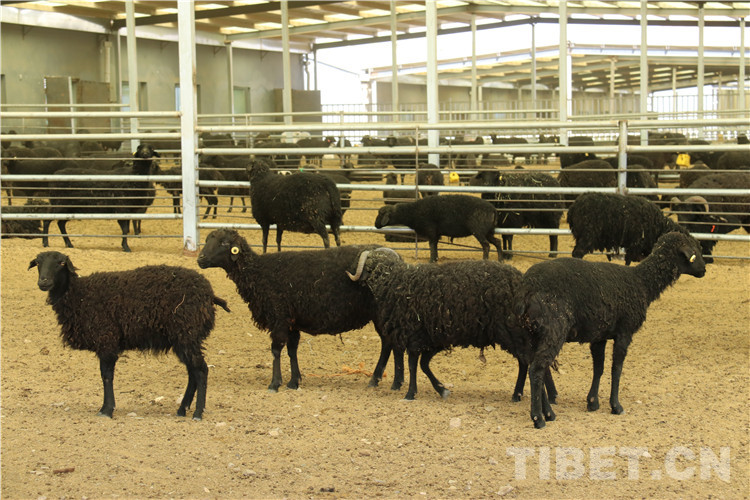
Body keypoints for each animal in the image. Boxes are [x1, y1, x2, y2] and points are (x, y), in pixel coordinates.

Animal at [29, 250, 230, 420]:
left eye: (61, 263)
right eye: (38, 263)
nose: (43, 282)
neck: (79, 295)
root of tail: (209, 295)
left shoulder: (107, 340)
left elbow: (106, 376)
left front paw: (106, 410)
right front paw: (106, 408)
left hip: (187, 334)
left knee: (201, 370)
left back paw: (197, 412)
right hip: (184, 339)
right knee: (192, 372)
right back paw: (182, 409)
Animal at [196, 229, 404, 391]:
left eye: (224, 243)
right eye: (207, 240)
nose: (200, 259)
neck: (258, 272)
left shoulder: (279, 317)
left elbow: (276, 349)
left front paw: (275, 383)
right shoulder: (292, 321)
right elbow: (292, 350)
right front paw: (294, 381)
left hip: (382, 313)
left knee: (390, 343)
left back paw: (384, 380)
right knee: (390, 342)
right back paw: (383, 380)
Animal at [345, 247, 558, 402]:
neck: (394, 282)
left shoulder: (415, 336)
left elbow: (413, 365)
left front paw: (410, 393)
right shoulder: (431, 339)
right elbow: (422, 365)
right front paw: (441, 390)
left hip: (514, 332)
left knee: (525, 361)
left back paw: (521, 394)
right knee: (529, 361)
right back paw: (533, 395)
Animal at [374, 194, 504, 262]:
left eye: (380, 214)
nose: (376, 225)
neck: (412, 212)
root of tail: (493, 209)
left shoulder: (430, 230)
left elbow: (431, 245)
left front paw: (432, 260)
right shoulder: (436, 233)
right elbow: (435, 246)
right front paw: (435, 258)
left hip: (479, 230)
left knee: (486, 245)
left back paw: (485, 260)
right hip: (488, 231)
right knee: (497, 242)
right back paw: (501, 259)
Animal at [514, 231, 706, 428]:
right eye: (695, 250)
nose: (704, 270)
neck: (643, 283)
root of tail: (528, 287)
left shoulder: (600, 336)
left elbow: (599, 368)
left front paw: (593, 402)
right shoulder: (624, 332)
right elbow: (617, 369)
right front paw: (616, 406)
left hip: (532, 333)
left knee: (540, 369)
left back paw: (549, 413)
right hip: (554, 329)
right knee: (537, 369)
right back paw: (538, 418)